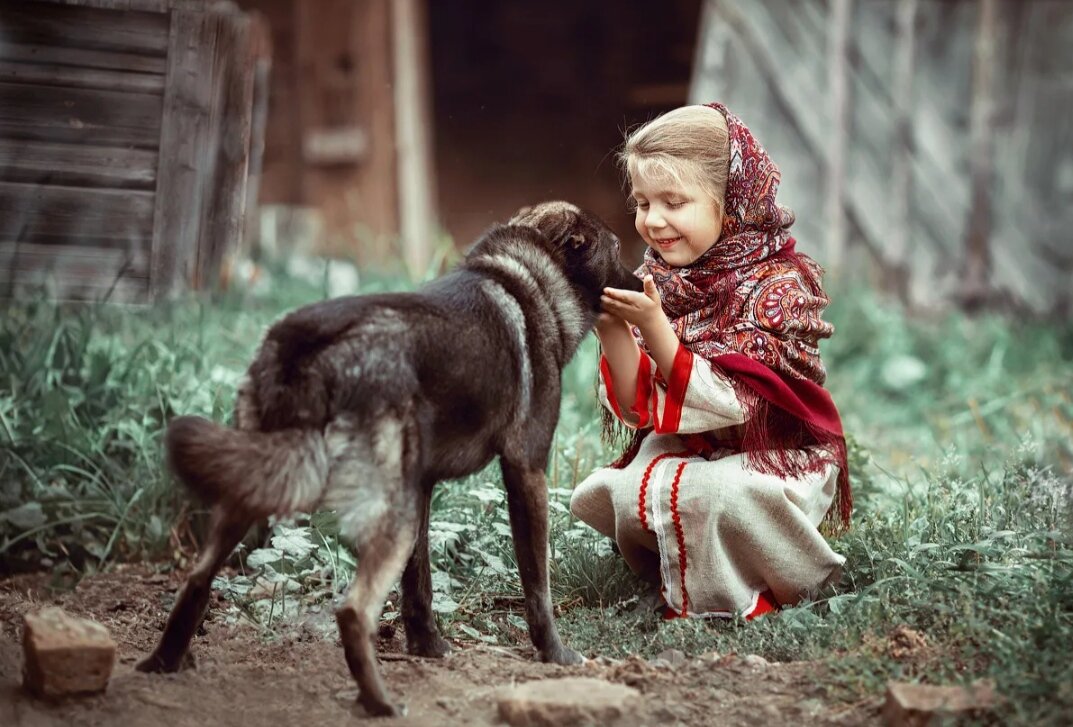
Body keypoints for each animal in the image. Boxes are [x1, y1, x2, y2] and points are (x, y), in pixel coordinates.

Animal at [131, 199, 635, 716]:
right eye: (617, 250)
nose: (642, 281)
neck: (528, 278)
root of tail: (308, 342)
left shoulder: (423, 488)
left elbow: (419, 587)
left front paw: (427, 648)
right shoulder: (526, 471)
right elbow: (538, 587)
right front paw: (555, 654)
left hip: (260, 484)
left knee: (196, 577)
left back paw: (164, 662)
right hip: (383, 514)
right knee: (352, 610)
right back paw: (379, 702)